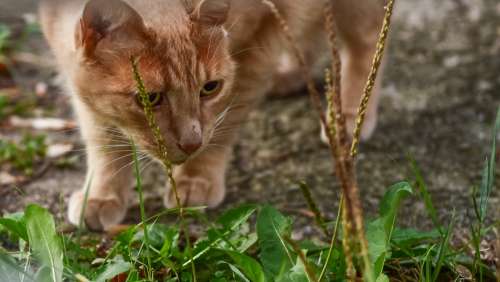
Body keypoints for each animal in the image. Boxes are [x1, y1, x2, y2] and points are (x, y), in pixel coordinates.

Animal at [40, 0, 382, 230]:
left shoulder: (258, 46)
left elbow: (224, 125)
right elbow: (104, 140)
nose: (191, 142)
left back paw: (349, 115)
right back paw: (292, 75)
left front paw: (197, 177)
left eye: (210, 88)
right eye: (150, 98)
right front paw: (101, 194)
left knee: (367, 43)